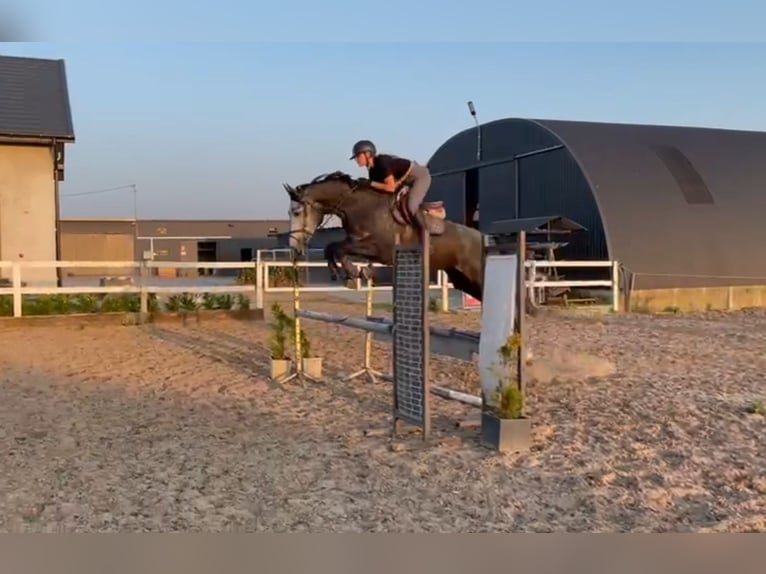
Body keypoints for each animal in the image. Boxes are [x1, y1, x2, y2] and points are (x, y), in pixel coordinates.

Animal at [282, 171, 486, 304]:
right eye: (290, 212)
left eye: (296, 212)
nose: (293, 246)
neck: (360, 206)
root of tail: (483, 238)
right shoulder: (361, 246)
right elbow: (331, 247)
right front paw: (341, 272)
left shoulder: (379, 249)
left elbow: (337, 248)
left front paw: (354, 272)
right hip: (462, 280)